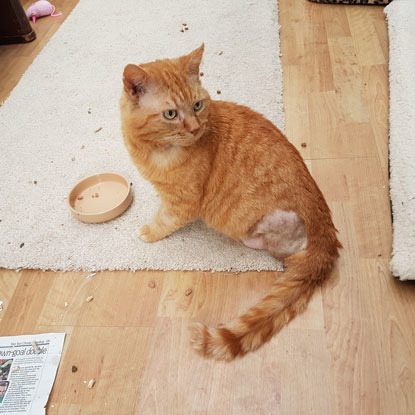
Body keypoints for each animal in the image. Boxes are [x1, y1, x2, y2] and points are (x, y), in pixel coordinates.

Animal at [119, 45, 342, 360]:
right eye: (171, 114)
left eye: (197, 105)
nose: (194, 127)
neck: (154, 150)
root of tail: (327, 237)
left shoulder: (183, 203)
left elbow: (165, 219)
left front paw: (149, 231)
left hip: (276, 221)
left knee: (279, 251)